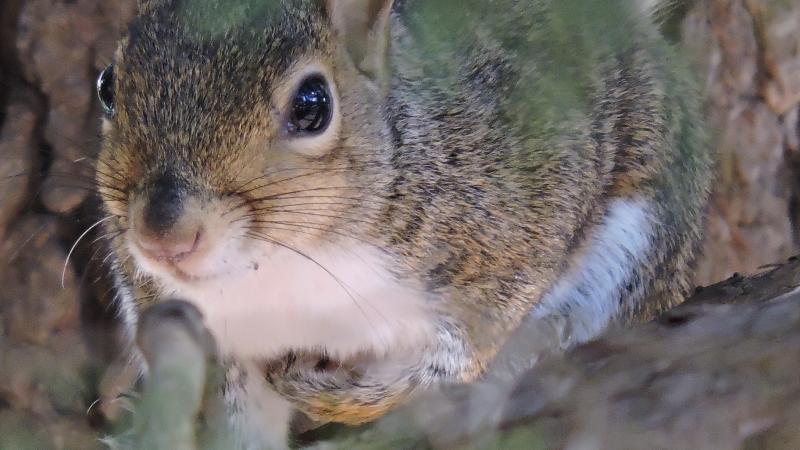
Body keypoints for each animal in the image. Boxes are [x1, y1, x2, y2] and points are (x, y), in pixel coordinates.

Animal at [94, 0, 712, 447]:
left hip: (635, 241)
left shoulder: (517, 222)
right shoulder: (212, 333)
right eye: (106, 86)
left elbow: (456, 354)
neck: (286, 262)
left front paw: (331, 394)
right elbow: (238, 422)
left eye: (312, 104)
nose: (165, 236)